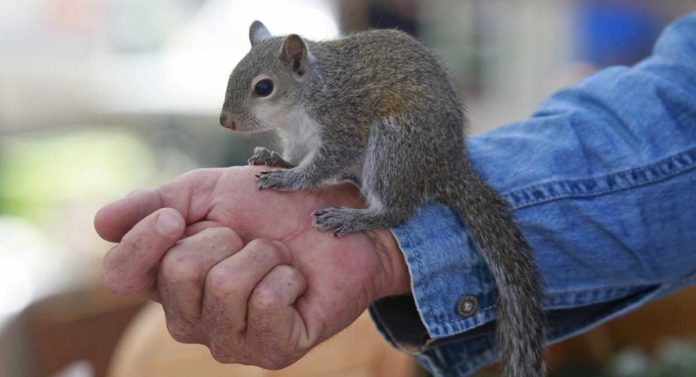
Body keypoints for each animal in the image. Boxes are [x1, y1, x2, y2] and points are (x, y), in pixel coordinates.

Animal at [220, 20, 548, 376]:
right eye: (232, 72)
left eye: (264, 87)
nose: (225, 121)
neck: (307, 95)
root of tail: (448, 164)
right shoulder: (299, 138)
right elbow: (296, 156)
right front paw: (275, 159)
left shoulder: (343, 126)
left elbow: (322, 165)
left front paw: (289, 179)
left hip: (394, 145)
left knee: (395, 211)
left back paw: (354, 218)